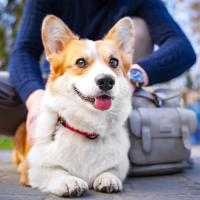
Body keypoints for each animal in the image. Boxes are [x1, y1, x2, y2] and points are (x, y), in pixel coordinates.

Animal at [12, 15, 134, 197]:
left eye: (114, 62)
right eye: (81, 62)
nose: (106, 81)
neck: (88, 130)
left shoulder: (120, 165)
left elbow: (111, 170)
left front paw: (108, 178)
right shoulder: (31, 168)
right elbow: (56, 171)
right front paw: (69, 181)